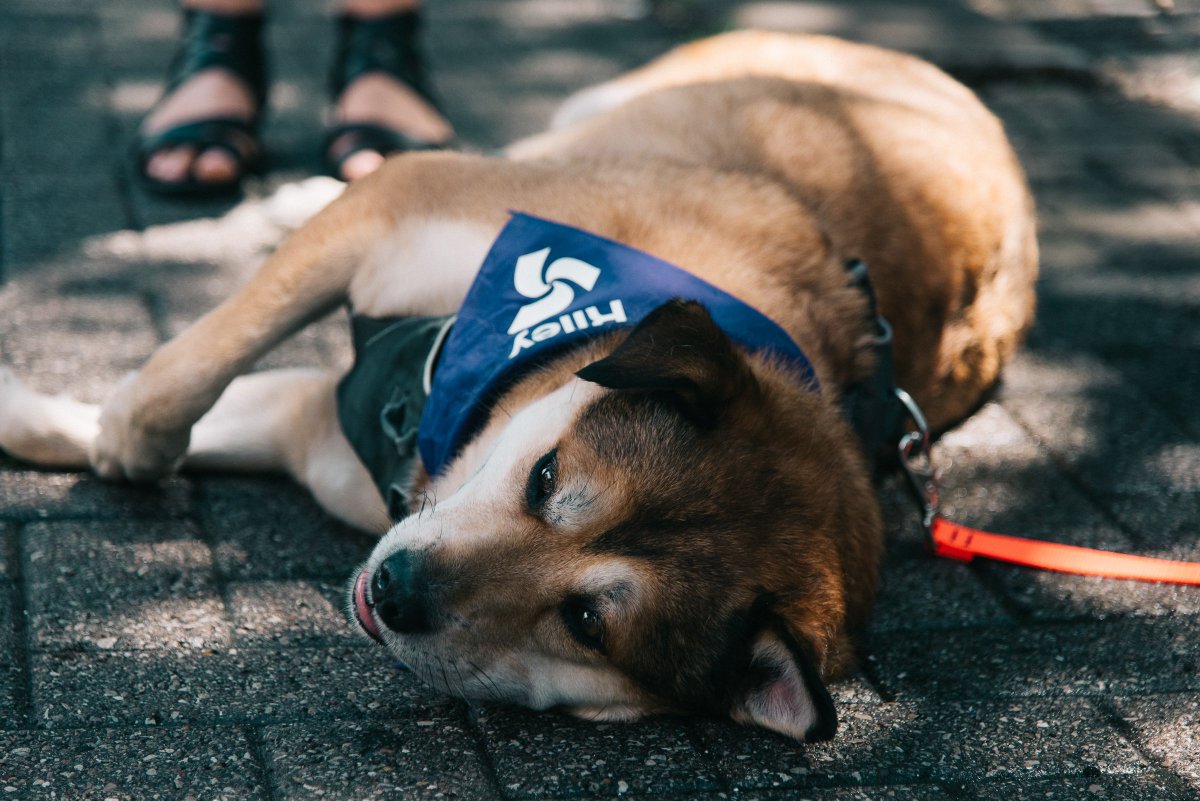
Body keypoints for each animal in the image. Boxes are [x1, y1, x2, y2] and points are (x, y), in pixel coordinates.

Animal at [0, 31, 1036, 742]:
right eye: (545, 478)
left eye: (585, 621)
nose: (399, 590)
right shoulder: (398, 213)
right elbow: (190, 368)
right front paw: (116, 430)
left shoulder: (327, 436)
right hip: (589, 112)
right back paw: (292, 193)